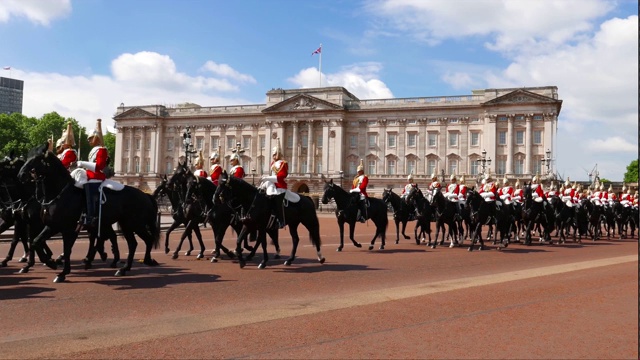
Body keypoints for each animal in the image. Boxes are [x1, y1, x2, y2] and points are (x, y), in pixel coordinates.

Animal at [17, 143, 160, 282]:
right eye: (28, 155)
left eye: (36, 158)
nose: (21, 175)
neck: (58, 194)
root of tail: (145, 195)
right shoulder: (51, 226)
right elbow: (35, 241)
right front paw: (49, 262)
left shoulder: (67, 228)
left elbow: (67, 249)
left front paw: (61, 271)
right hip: (125, 225)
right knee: (132, 243)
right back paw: (123, 268)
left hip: (135, 224)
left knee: (146, 239)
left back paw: (144, 261)